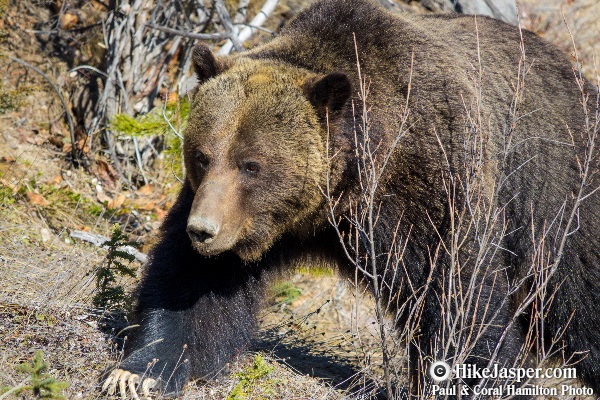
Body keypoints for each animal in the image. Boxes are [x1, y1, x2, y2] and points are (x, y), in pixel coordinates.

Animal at [101, 0, 596, 396]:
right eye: (202, 156)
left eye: (251, 164)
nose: (202, 231)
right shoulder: (239, 216)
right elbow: (192, 288)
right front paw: (138, 372)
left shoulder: (431, 182)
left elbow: (459, 291)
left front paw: (460, 377)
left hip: (559, 203)